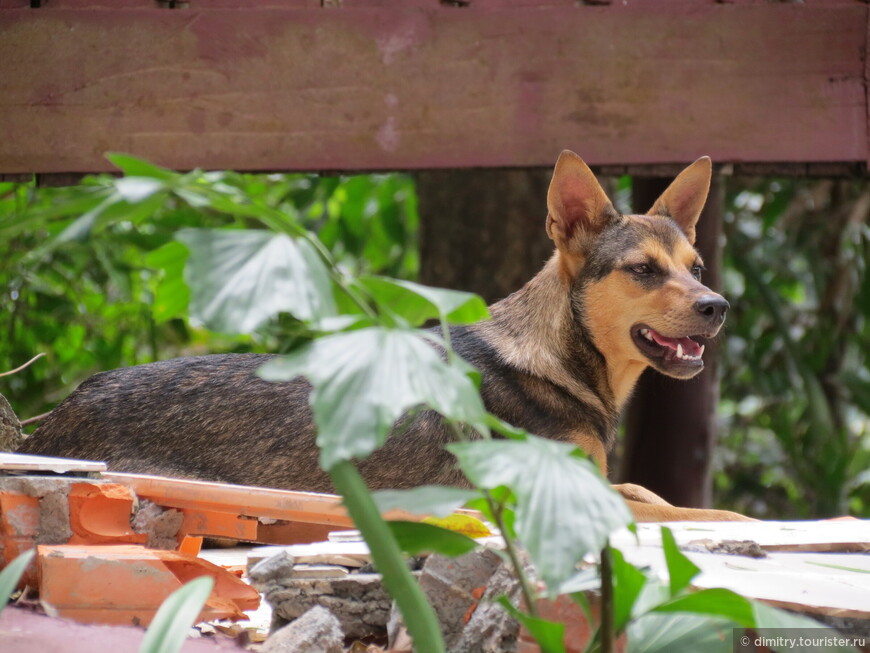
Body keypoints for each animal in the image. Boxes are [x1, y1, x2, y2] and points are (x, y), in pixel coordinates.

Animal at [17, 152, 748, 520]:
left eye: (696, 269)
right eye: (643, 271)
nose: (719, 306)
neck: (555, 356)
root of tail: (54, 418)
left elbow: (666, 497)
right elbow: (705, 515)